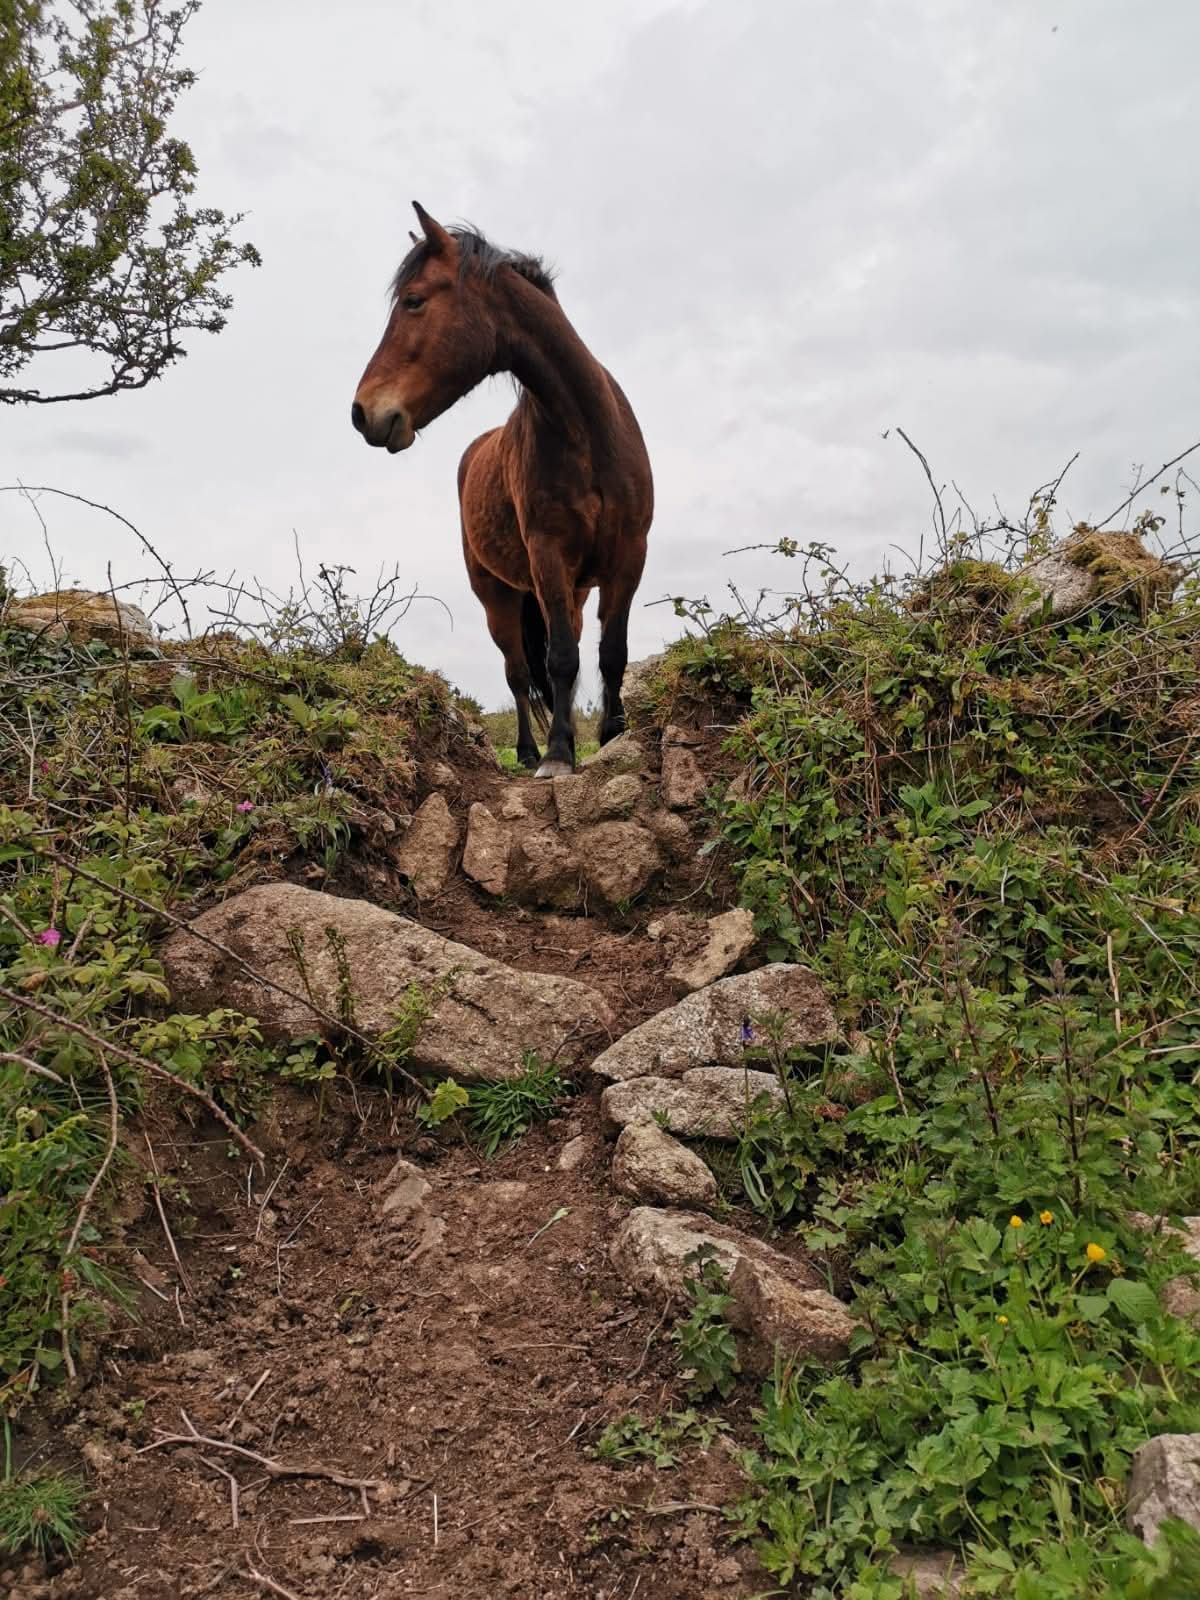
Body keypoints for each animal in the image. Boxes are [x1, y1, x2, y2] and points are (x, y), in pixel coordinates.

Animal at [351, 202, 653, 777]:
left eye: (414, 300)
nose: (362, 413)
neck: (587, 433)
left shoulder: (628, 558)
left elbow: (611, 654)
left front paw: (613, 736)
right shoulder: (547, 555)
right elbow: (559, 659)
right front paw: (557, 755)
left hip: (572, 592)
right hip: (499, 597)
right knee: (516, 673)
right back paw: (530, 749)